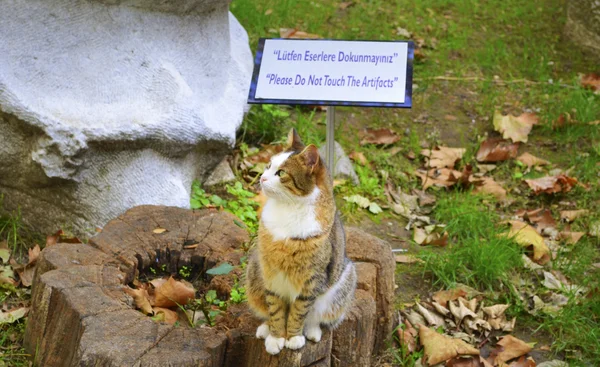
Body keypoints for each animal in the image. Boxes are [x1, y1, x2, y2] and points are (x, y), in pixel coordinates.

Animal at [244, 129, 356, 356]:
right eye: (268, 165)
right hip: (254, 271)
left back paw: (311, 331)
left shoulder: (312, 279)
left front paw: (293, 337)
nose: (262, 177)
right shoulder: (271, 274)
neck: (288, 208)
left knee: (315, 316)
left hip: (343, 282)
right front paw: (276, 337)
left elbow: (299, 311)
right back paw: (265, 329)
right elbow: (275, 309)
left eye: (281, 173)